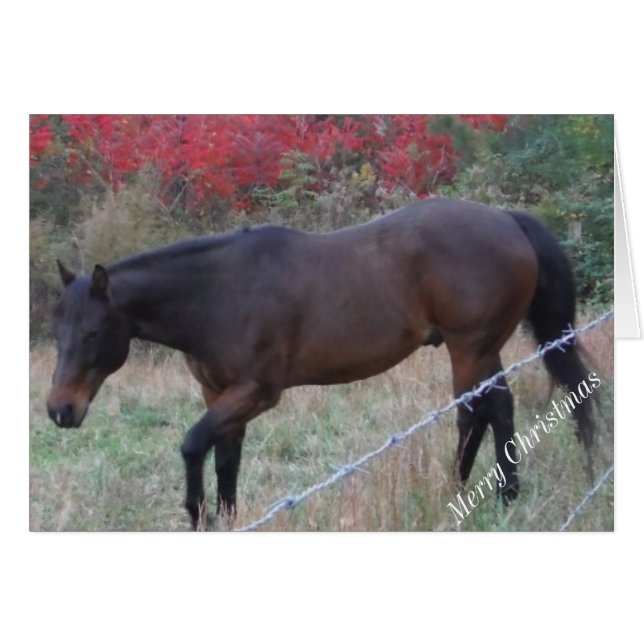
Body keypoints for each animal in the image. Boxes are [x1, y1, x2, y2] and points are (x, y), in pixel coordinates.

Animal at [46, 197, 597, 529]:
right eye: (56, 332)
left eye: (92, 332)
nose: (59, 409)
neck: (219, 293)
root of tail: (506, 219)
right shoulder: (220, 393)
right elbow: (225, 458)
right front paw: (226, 517)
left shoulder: (256, 392)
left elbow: (192, 444)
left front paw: (198, 513)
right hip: (477, 350)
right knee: (479, 411)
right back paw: (463, 488)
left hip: (471, 348)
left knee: (489, 410)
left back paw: (500, 495)